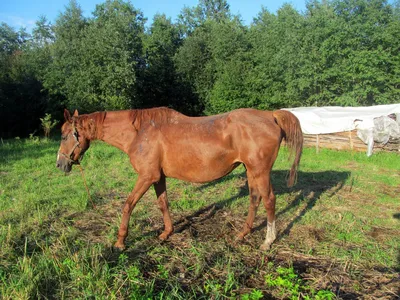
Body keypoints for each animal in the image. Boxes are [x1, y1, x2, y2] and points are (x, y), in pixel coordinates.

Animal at [57, 108, 304, 251]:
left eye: (63, 135)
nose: (60, 164)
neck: (140, 132)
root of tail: (271, 115)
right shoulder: (158, 177)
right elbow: (163, 204)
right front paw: (166, 233)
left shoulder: (146, 176)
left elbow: (128, 205)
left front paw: (120, 242)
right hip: (251, 171)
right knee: (255, 199)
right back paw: (243, 233)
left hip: (260, 171)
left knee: (269, 201)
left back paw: (267, 241)